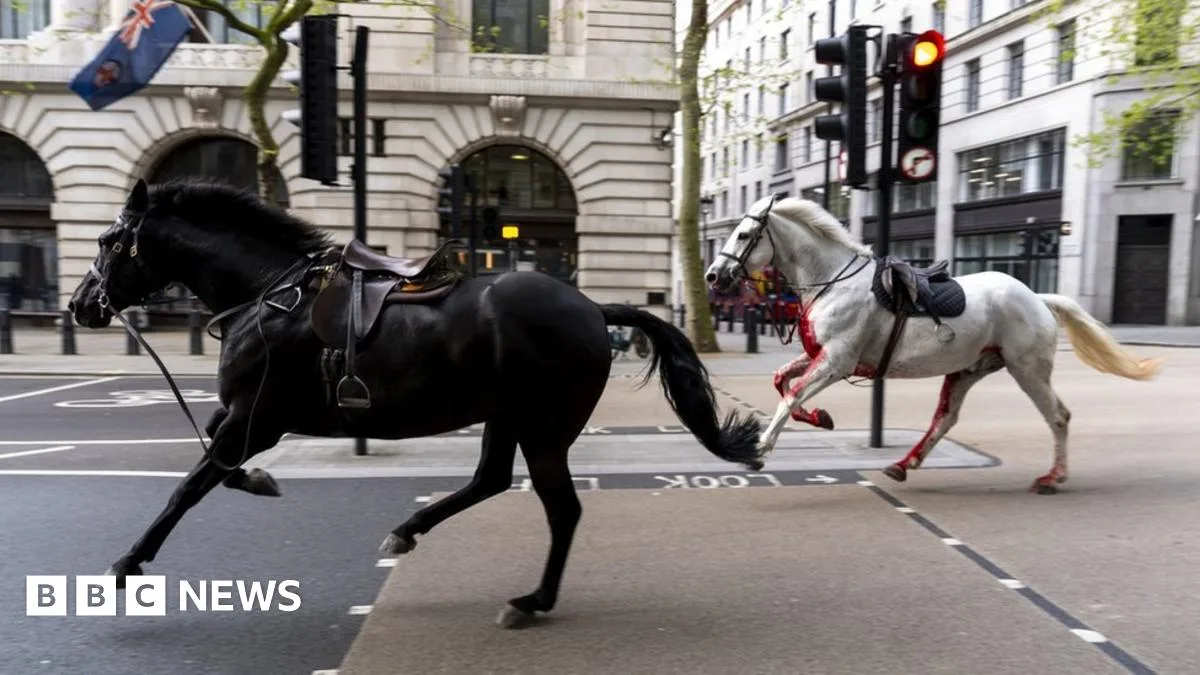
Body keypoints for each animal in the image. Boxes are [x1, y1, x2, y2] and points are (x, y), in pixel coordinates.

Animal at [68, 177, 764, 627]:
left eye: (107, 240)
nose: (78, 306)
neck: (268, 295)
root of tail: (593, 308)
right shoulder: (244, 417)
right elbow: (214, 463)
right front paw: (260, 481)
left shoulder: (256, 418)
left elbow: (190, 485)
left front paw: (127, 564)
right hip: (507, 416)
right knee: (490, 480)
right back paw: (409, 531)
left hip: (544, 428)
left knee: (561, 509)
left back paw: (532, 600)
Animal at [704, 194, 1162, 494]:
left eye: (744, 234)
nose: (712, 276)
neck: (832, 281)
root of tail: (1037, 297)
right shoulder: (821, 356)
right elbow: (783, 382)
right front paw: (821, 418)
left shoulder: (837, 361)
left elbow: (791, 395)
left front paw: (759, 449)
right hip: (968, 370)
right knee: (945, 419)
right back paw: (904, 464)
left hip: (1027, 370)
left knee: (1059, 417)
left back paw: (1053, 477)